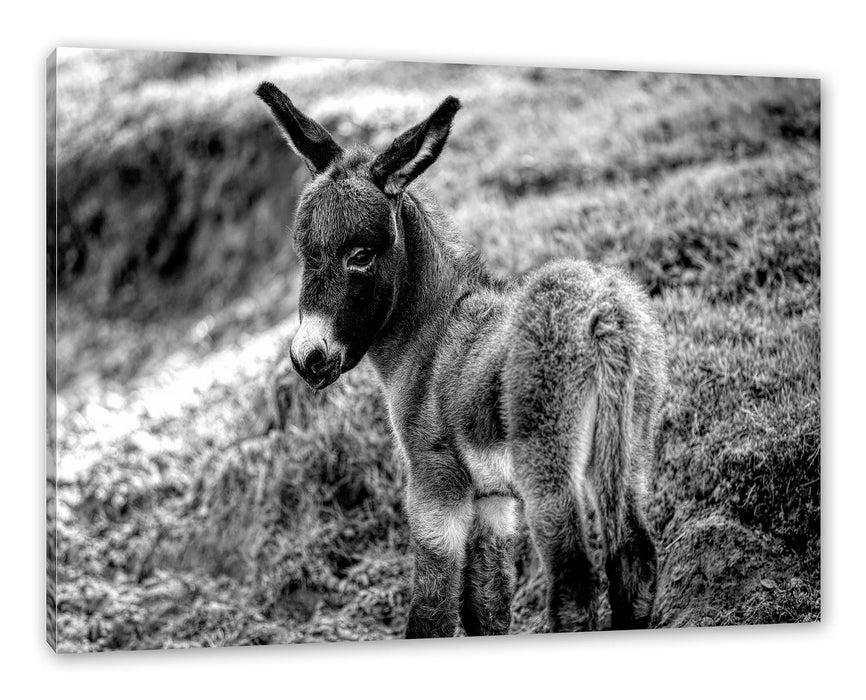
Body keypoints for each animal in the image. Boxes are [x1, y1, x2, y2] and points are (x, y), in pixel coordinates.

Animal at [256, 79, 668, 636]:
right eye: (305, 254)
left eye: (360, 255)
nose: (308, 359)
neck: (430, 337)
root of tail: (603, 314)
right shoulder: (492, 501)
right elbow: (485, 608)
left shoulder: (434, 489)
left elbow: (431, 611)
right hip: (629, 457)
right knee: (635, 563)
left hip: (550, 472)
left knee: (574, 589)